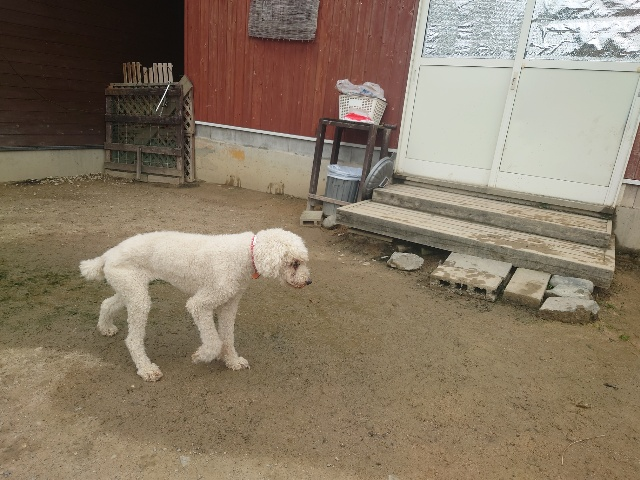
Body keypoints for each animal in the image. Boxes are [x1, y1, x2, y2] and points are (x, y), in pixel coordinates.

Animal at [80, 228, 311, 381]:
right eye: (295, 263)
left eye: (301, 262)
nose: (309, 281)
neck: (246, 254)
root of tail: (108, 254)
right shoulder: (200, 304)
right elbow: (214, 340)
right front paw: (201, 356)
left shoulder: (229, 305)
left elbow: (227, 337)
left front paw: (232, 361)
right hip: (138, 298)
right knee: (132, 340)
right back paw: (146, 369)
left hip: (130, 290)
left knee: (107, 303)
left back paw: (105, 327)